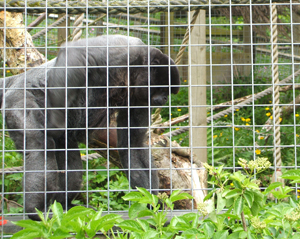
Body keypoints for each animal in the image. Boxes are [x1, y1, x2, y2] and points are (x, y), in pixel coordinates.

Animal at [0, 34, 180, 219]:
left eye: (167, 92)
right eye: (163, 88)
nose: (165, 99)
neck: (131, 75)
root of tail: (16, 81)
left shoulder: (140, 98)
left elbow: (133, 143)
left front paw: (153, 202)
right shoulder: (125, 51)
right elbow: (76, 54)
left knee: (70, 163)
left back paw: (63, 206)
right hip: (18, 100)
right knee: (38, 146)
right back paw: (37, 210)